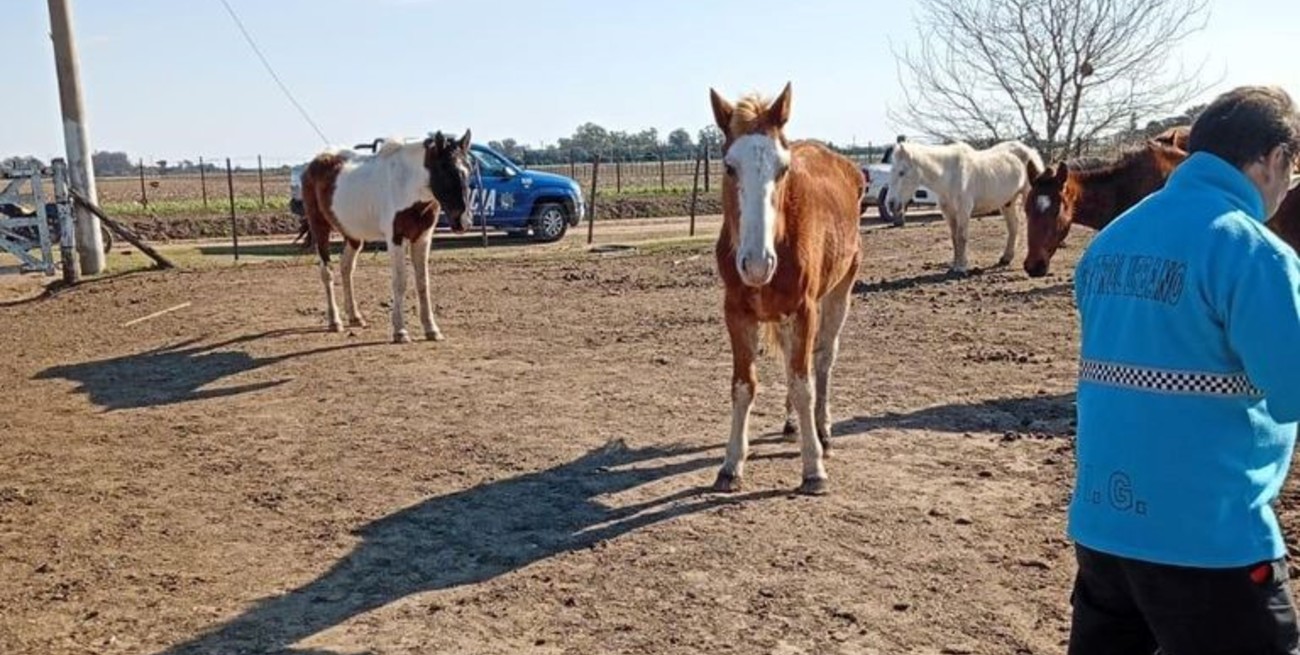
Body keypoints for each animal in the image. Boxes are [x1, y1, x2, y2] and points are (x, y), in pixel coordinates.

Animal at [301, 131, 474, 343]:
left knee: (346, 268)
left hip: (353, 235)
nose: (463, 222)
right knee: (327, 272)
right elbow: (400, 282)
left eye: (469, 169)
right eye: (445, 168)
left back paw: (355, 317)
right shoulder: (395, 238)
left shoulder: (423, 238)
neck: (407, 184)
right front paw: (400, 331)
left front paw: (432, 329)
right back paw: (335, 321)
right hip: (320, 228)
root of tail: (314, 163)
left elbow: (423, 282)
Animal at [708, 83, 865, 496]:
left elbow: (802, 383)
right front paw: (731, 465)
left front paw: (813, 468)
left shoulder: (804, 309)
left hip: (841, 290)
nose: (757, 263)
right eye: (729, 167)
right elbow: (744, 385)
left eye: (782, 169)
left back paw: (822, 431)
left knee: (823, 358)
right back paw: (794, 423)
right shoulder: (736, 312)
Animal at [884, 139, 1044, 275]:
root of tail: (1030, 151)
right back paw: (1006, 258)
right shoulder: (949, 213)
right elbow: (954, 238)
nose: (891, 203)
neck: (949, 175)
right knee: (1013, 227)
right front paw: (955, 265)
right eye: (891, 171)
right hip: (1007, 203)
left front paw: (961, 268)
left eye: (902, 172)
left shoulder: (963, 211)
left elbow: (961, 237)